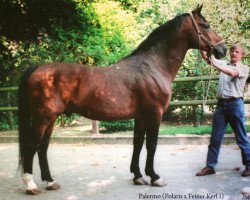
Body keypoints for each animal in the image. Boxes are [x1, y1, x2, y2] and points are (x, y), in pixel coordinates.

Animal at [19, 5, 227, 195]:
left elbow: (138, 143)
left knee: (43, 147)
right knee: (32, 145)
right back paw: (31, 185)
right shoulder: (154, 114)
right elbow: (151, 145)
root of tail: (38, 68)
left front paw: (138, 176)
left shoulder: (141, 116)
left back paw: (50, 182)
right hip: (43, 118)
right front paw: (155, 177)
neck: (152, 66)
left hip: (51, 119)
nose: (222, 49)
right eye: (206, 25)